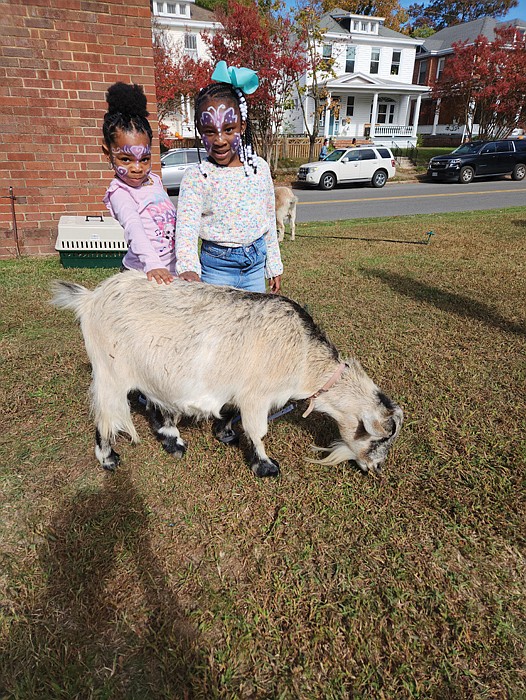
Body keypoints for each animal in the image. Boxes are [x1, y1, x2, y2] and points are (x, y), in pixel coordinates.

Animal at [52, 270, 404, 478]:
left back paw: (173, 442)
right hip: (110, 370)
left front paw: (225, 432)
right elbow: (258, 431)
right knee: (105, 415)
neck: (302, 356)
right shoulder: (257, 396)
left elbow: (231, 414)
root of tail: (90, 298)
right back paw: (108, 458)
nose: (376, 468)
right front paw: (266, 466)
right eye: (380, 438)